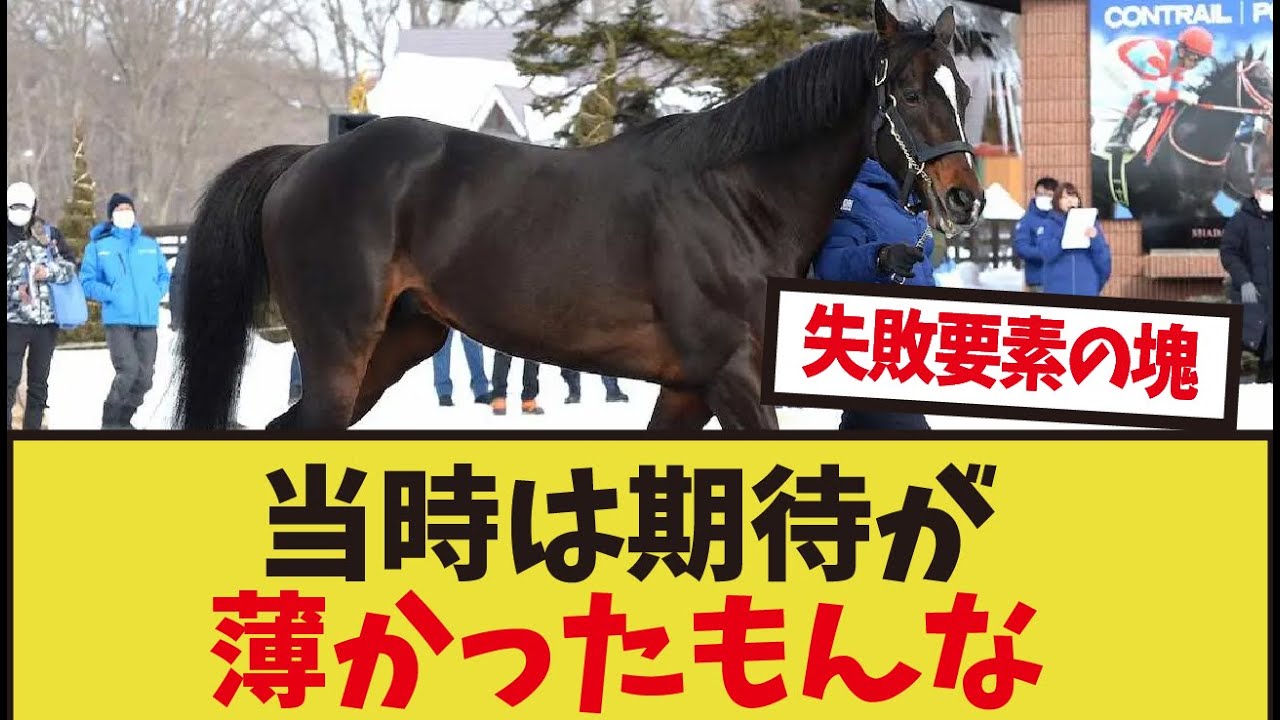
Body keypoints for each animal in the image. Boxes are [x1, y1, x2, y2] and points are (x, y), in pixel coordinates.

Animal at [174, 0, 985, 432]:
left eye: (964, 92)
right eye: (910, 93)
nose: (964, 198)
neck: (737, 203)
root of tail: (305, 161)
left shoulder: (688, 387)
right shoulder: (732, 380)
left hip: (402, 340)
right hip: (340, 350)